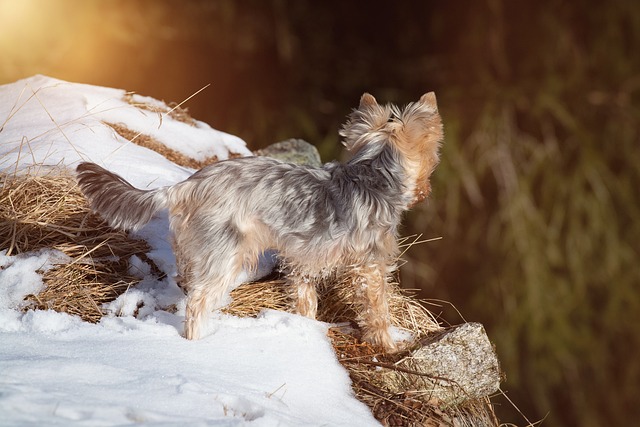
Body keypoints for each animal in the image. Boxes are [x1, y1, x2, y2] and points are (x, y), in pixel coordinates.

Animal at [75, 93, 442, 352]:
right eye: (432, 158)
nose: (427, 190)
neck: (372, 176)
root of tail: (186, 186)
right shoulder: (370, 267)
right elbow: (378, 310)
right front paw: (389, 345)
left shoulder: (301, 261)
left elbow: (305, 300)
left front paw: (307, 328)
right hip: (226, 253)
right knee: (198, 301)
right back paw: (200, 341)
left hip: (196, 247)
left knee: (185, 280)